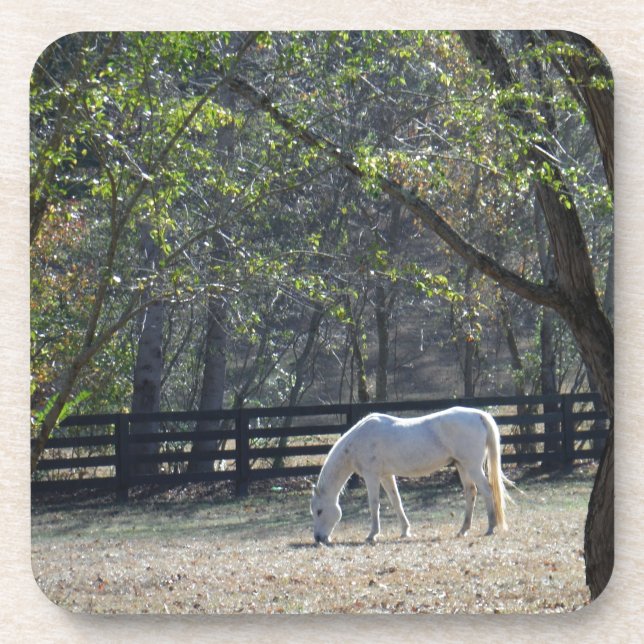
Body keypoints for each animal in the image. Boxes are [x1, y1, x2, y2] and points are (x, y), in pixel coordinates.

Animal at [310, 407, 514, 544]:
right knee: (471, 492)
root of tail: (479, 415)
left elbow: (374, 504)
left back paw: (490, 527)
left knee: (487, 490)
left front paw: (372, 535)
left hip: (472, 466)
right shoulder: (386, 476)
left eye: (319, 511)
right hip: (462, 466)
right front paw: (405, 531)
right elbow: (396, 501)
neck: (359, 439)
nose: (319, 538)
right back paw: (463, 529)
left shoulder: (372, 476)